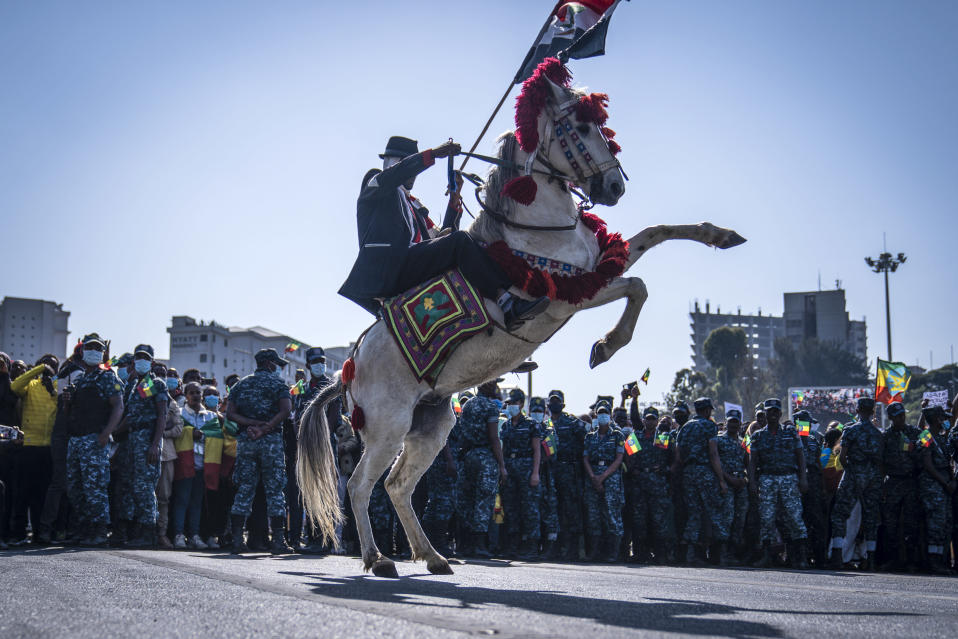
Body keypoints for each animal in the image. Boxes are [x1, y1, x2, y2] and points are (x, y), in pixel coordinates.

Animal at [296, 61, 748, 580]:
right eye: (582, 128)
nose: (615, 187)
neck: (532, 231)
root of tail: (346, 370)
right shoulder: (567, 296)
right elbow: (637, 285)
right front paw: (607, 344)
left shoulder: (597, 266)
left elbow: (656, 235)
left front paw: (720, 235)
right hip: (387, 427)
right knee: (359, 486)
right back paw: (379, 558)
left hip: (431, 425)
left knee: (398, 486)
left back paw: (433, 556)